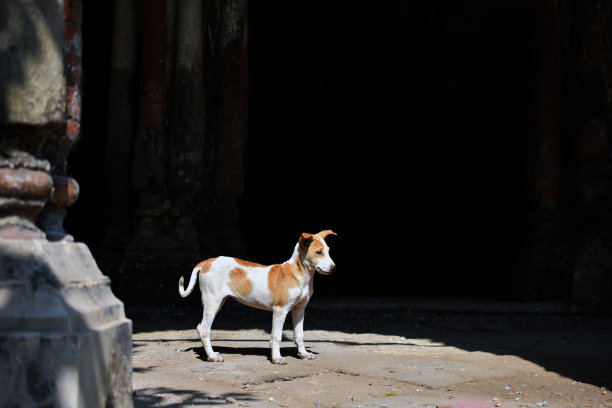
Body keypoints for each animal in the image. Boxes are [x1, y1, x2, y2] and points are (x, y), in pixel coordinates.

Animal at [179, 231, 338, 364]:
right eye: (319, 252)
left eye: (328, 251)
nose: (334, 267)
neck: (299, 273)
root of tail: (207, 261)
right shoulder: (280, 309)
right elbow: (276, 336)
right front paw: (277, 358)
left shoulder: (299, 309)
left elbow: (299, 334)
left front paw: (303, 354)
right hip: (212, 302)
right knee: (204, 329)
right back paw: (212, 356)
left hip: (218, 302)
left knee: (201, 328)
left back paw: (209, 353)